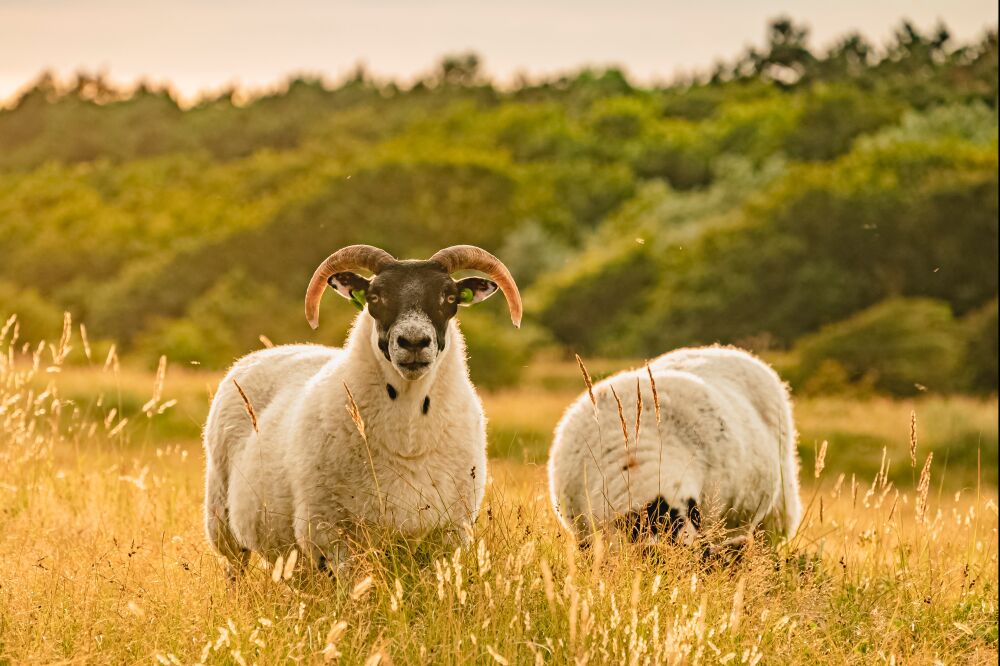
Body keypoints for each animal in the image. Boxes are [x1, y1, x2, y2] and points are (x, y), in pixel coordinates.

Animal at [199, 244, 520, 572]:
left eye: (450, 297)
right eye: (375, 297)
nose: (413, 342)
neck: (408, 438)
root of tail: (263, 353)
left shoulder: (448, 535)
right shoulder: (329, 537)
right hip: (223, 523)